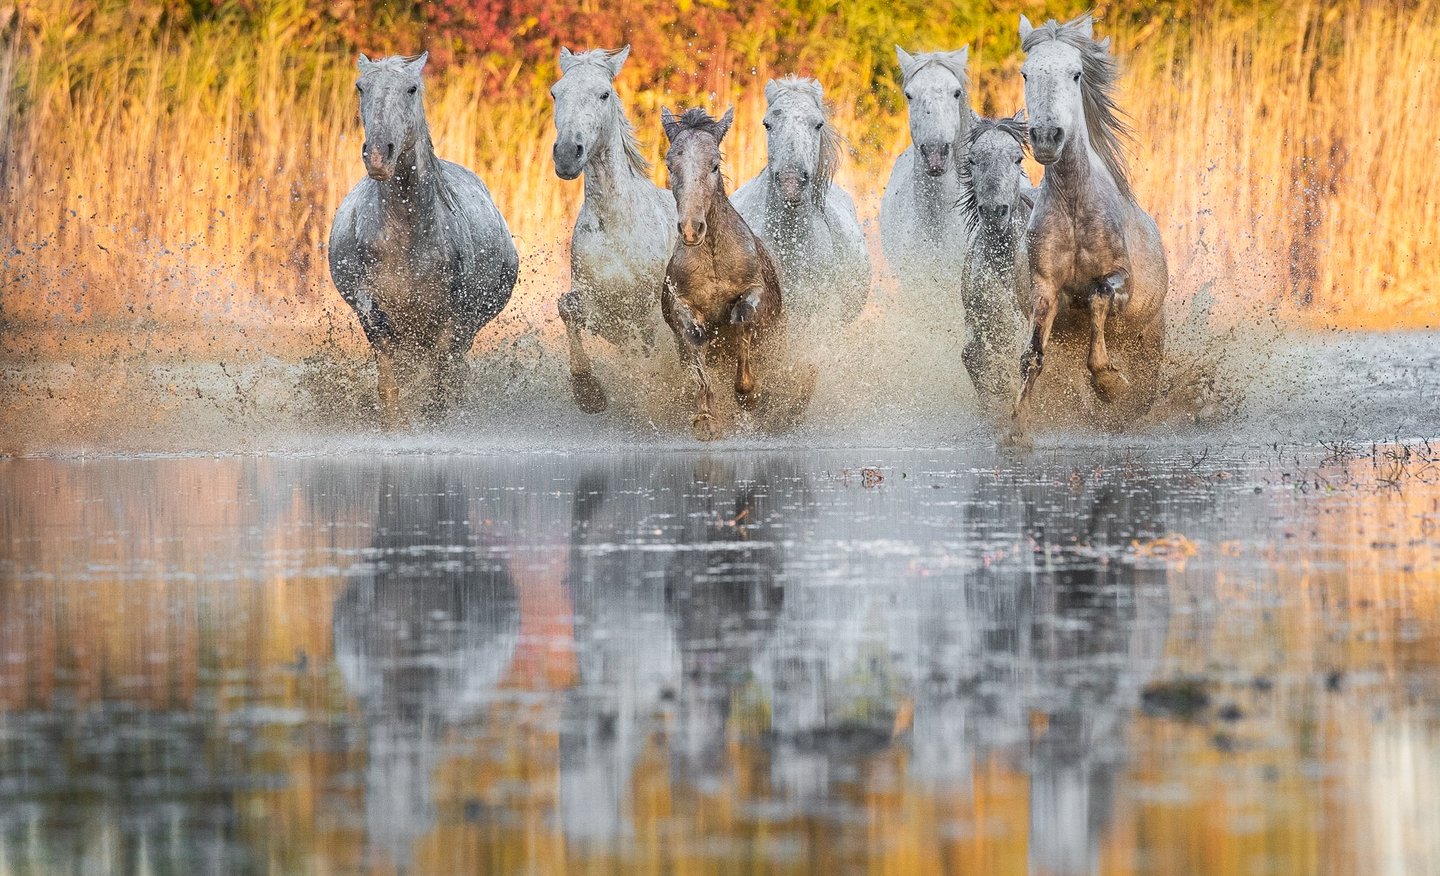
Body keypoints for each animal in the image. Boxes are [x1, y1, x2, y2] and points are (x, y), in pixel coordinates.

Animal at [329, 53, 518, 428]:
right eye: (361, 87)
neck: (404, 238)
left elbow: (438, 384)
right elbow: (390, 384)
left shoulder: (453, 319)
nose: (378, 155)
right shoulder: (374, 313)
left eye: (411, 88)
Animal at [550, 45, 676, 413]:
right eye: (556, 93)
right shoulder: (604, 311)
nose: (566, 154)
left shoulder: (652, 316)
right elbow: (567, 308)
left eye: (604, 94)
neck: (618, 227)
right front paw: (588, 392)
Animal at [659, 107, 784, 441]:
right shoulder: (682, 304)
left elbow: (742, 317)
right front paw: (705, 417)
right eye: (670, 164)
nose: (691, 229)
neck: (714, 258)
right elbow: (696, 338)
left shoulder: (754, 290)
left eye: (714, 164)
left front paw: (747, 393)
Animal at [1012, 14, 1168, 434]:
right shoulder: (1045, 289)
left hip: (1148, 337)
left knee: (1147, 384)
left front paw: (1111, 385)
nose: (1046, 138)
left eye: (1076, 73)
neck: (1073, 204)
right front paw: (1016, 428)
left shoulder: (1120, 279)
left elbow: (1098, 295)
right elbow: (1032, 356)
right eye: (1026, 73)